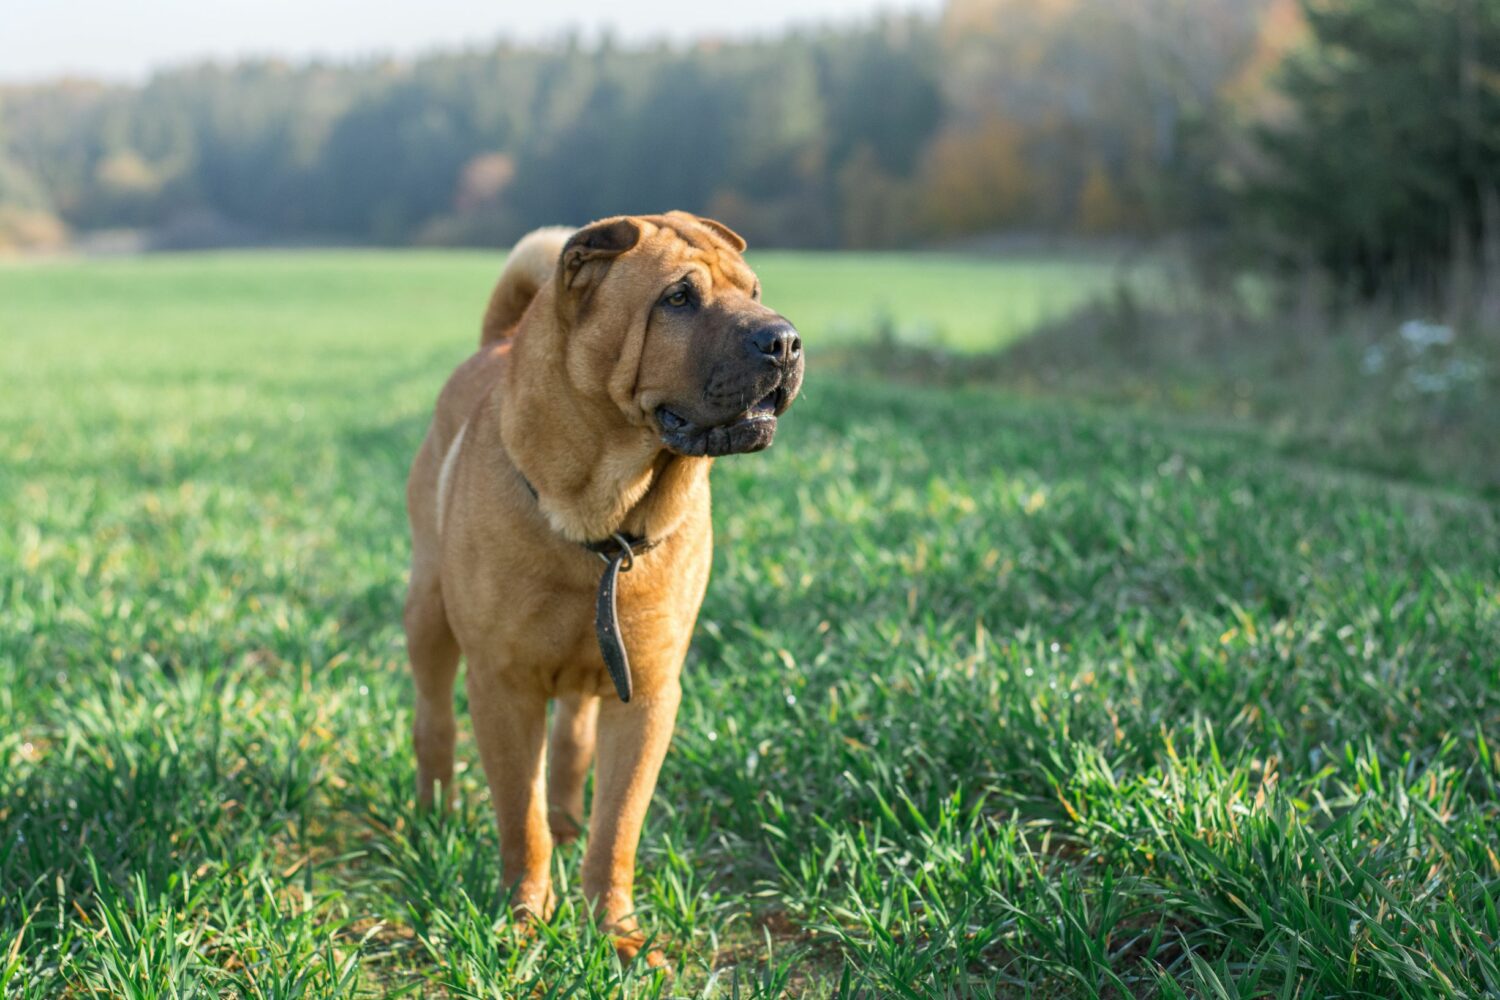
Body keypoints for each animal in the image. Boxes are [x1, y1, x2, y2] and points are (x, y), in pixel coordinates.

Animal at [396, 211, 798, 959]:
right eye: (678, 298)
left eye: (755, 290)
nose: (784, 340)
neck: (607, 522)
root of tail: (492, 344)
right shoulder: (503, 685)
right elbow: (517, 817)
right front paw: (525, 917)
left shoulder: (647, 692)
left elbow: (618, 824)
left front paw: (616, 931)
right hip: (428, 612)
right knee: (434, 721)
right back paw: (435, 816)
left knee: (571, 750)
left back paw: (568, 825)